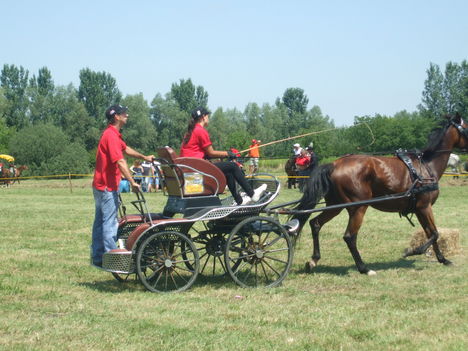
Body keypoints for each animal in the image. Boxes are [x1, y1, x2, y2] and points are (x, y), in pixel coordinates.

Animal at [292, 114, 468, 276]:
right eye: (467, 126)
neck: (426, 167)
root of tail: (335, 164)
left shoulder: (419, 209)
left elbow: (431, 233)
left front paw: (443, 259)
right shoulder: (425, 207)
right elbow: (435, 233)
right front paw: (412, 251)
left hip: (335, 206)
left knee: (315, 224)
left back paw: (313, 260)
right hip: (358, 208)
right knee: (349, 237)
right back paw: (363, 268)